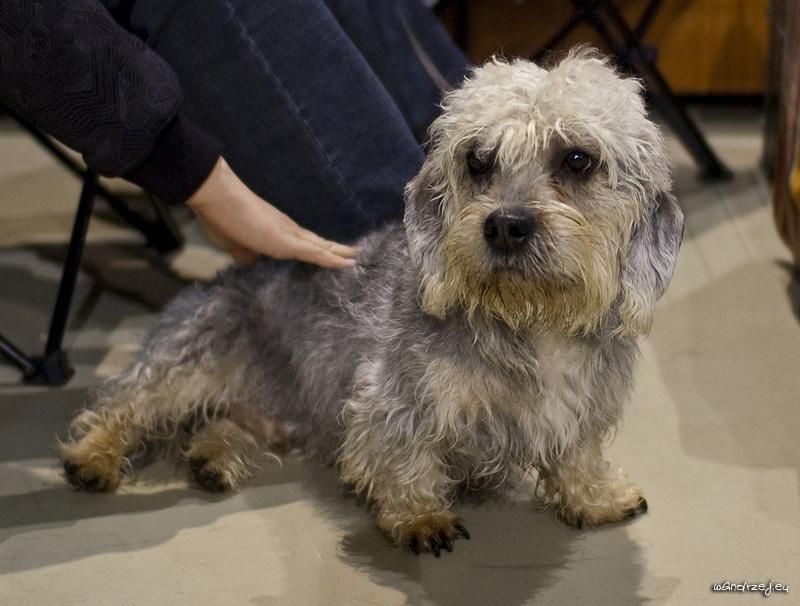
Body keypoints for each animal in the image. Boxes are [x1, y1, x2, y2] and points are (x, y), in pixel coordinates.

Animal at [61, 49, 684, 557]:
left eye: (578, 159)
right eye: (477, 160)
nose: (506, 225)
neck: (531, 319)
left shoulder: (584, 405)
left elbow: (577, 453)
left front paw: (593, 496)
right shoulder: (392, 399)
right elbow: (405, 457)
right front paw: (420, 517)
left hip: (273, 407)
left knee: (228, 421)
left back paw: (211, 457)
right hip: (188, 361)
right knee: (125, 404)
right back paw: (93, 456)